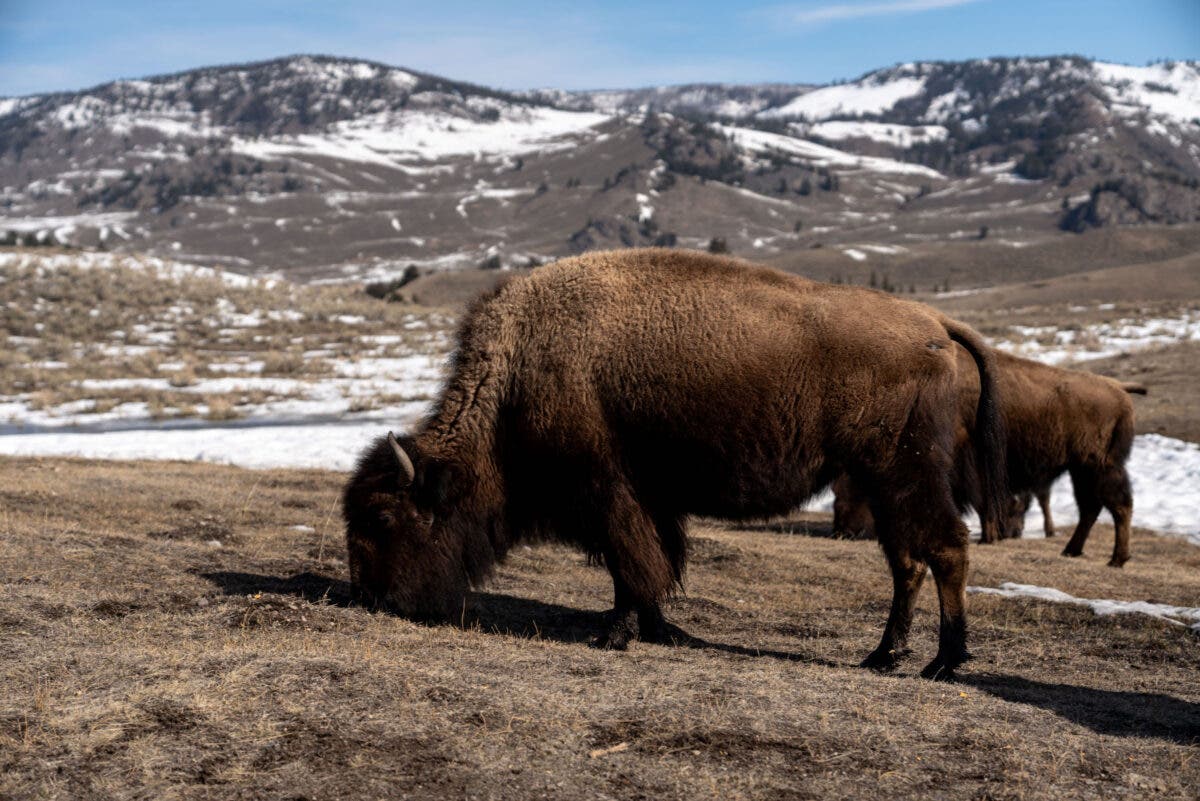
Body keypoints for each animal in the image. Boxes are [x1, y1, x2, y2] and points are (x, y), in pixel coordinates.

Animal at [343, 249, 1007, 679]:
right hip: (882, 481)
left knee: (945, 549)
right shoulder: (647, 500)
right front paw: (660, 631)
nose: (373, 597)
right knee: (907, 562)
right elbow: (651, 566)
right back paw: (883, 656)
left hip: (903, 472)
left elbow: (631, 567)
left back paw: (943, 662)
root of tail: (934, 324)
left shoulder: (608, 494)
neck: (518, 374)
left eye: (384, 519)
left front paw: (611, 636)